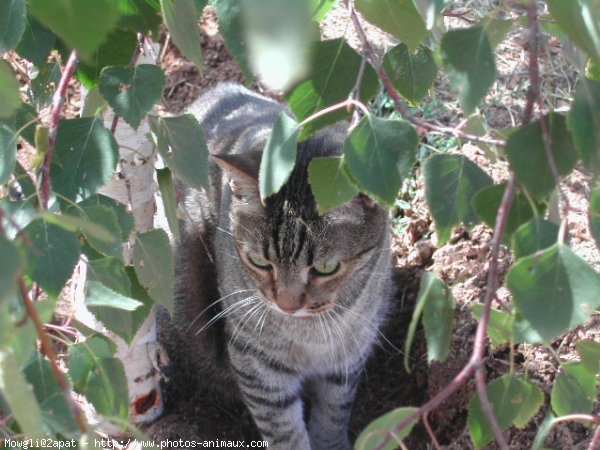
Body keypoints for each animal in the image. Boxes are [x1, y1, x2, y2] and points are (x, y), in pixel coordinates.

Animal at [170, 82, 394, 448]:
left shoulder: (351, 349)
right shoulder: (255, 359)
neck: (309, 333)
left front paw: (331, 441)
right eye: (259, 262)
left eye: (326, 268)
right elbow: (283, 429)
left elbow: (334, 410)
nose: (286, 305)